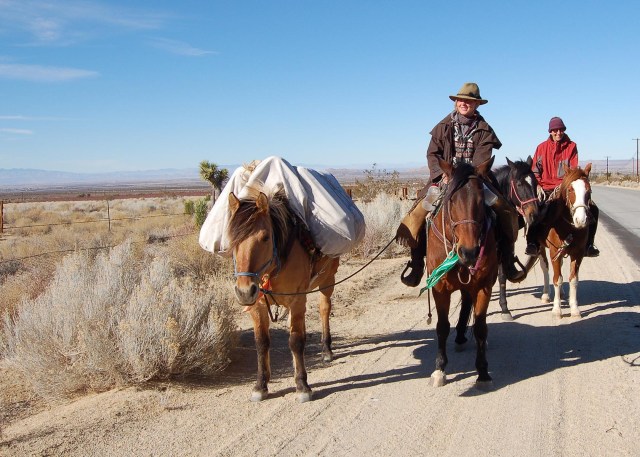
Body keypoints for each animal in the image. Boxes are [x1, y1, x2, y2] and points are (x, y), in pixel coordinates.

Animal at [227, 186, 340, 402]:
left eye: (265, 237)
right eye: (231, 239)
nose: (244, 291)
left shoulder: (297, 299)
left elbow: (296, 341)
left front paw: (302, 385)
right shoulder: (258, 305)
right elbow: (261, 343)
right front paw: (261, 385)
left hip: (327, 280)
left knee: (324, 309)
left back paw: (326, 349)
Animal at [426, 156, 499, 388]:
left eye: (481, 200)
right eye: (451, 200)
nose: (469, 252)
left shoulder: (484, 286)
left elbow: (480, 327)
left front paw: (483, 371)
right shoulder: (439, 288)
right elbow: (442, 327)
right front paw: (439, 369)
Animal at [492, 157, 541, 320]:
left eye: (536, 183)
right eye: (519, 184)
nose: (534, 215)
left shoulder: (503, 247)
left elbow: (502, 276)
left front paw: (504, 308)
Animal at [533, 163, 593, 318]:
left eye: (589, 190)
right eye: (571, 189)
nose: (581, 220)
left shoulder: (577, 253)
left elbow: (573, 280)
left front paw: (575, 309)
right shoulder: (554, 251)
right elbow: (557, 279)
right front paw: (556, 310)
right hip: (541, 248)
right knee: (545, 268)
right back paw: (546, 294)